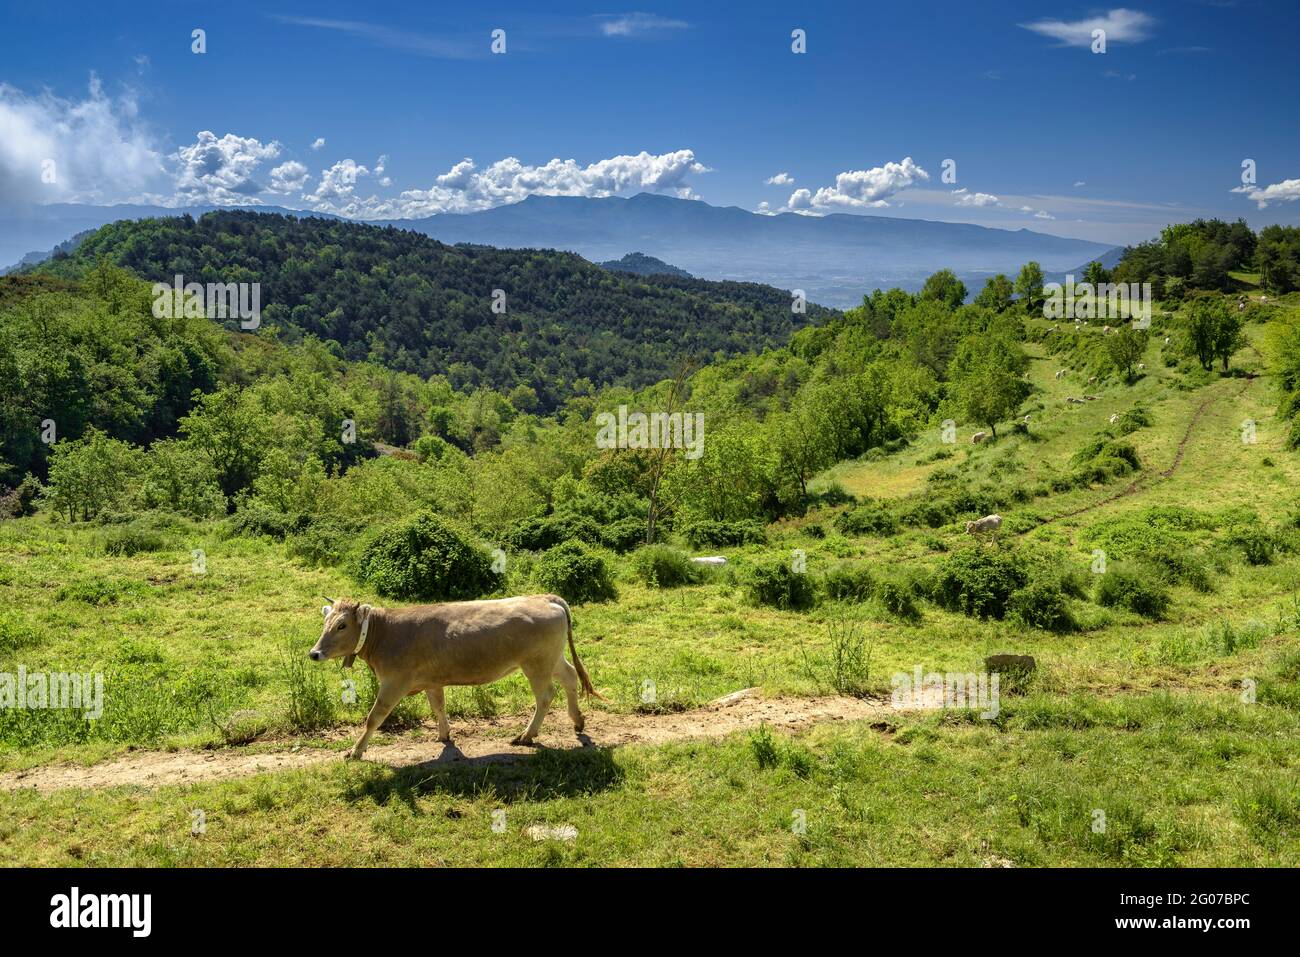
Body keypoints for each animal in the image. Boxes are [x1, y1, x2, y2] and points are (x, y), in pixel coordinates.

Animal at [312, 595, 600, 759]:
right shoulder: (431, 681)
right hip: (553, 658)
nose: (314, 653)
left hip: (536, 663)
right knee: (570, 677)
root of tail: (545, 598)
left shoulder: (394, 683)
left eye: (342, 625)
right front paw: (444, 735)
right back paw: (577, 721)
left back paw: (527, 735)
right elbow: (438, 706)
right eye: (325, 623)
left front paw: (356, 750)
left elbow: (375, 717)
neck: (385, 632)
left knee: (545, 696)